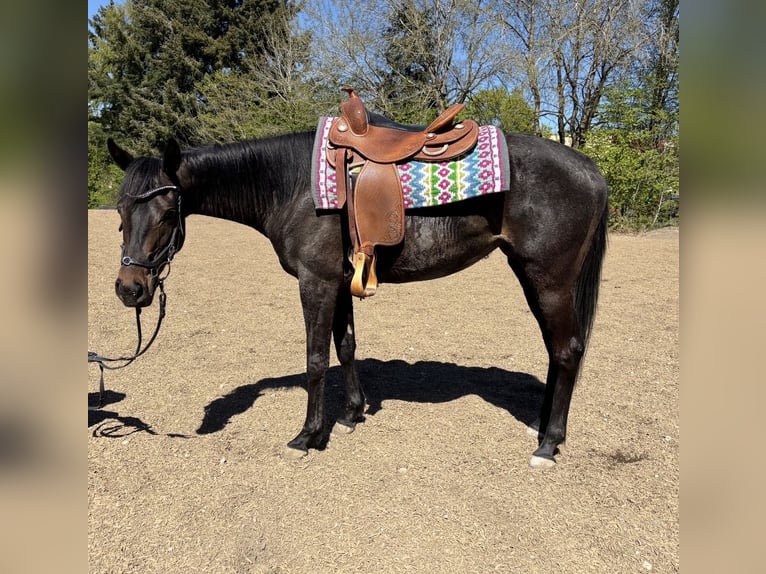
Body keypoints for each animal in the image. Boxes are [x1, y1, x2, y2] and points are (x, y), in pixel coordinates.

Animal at [106, 127, 608, 468]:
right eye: (120, 211)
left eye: (167, 212)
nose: (130, 289)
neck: (292, 185)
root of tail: (591, 170)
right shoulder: (339, 281)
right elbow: (345, 347)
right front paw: (351, 413)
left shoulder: (315, 283)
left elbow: (315, 360)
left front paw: (308, 436)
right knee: (558, 352)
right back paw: (544, 428)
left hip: (549, 279)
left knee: (567, 351)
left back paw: (548, 444)